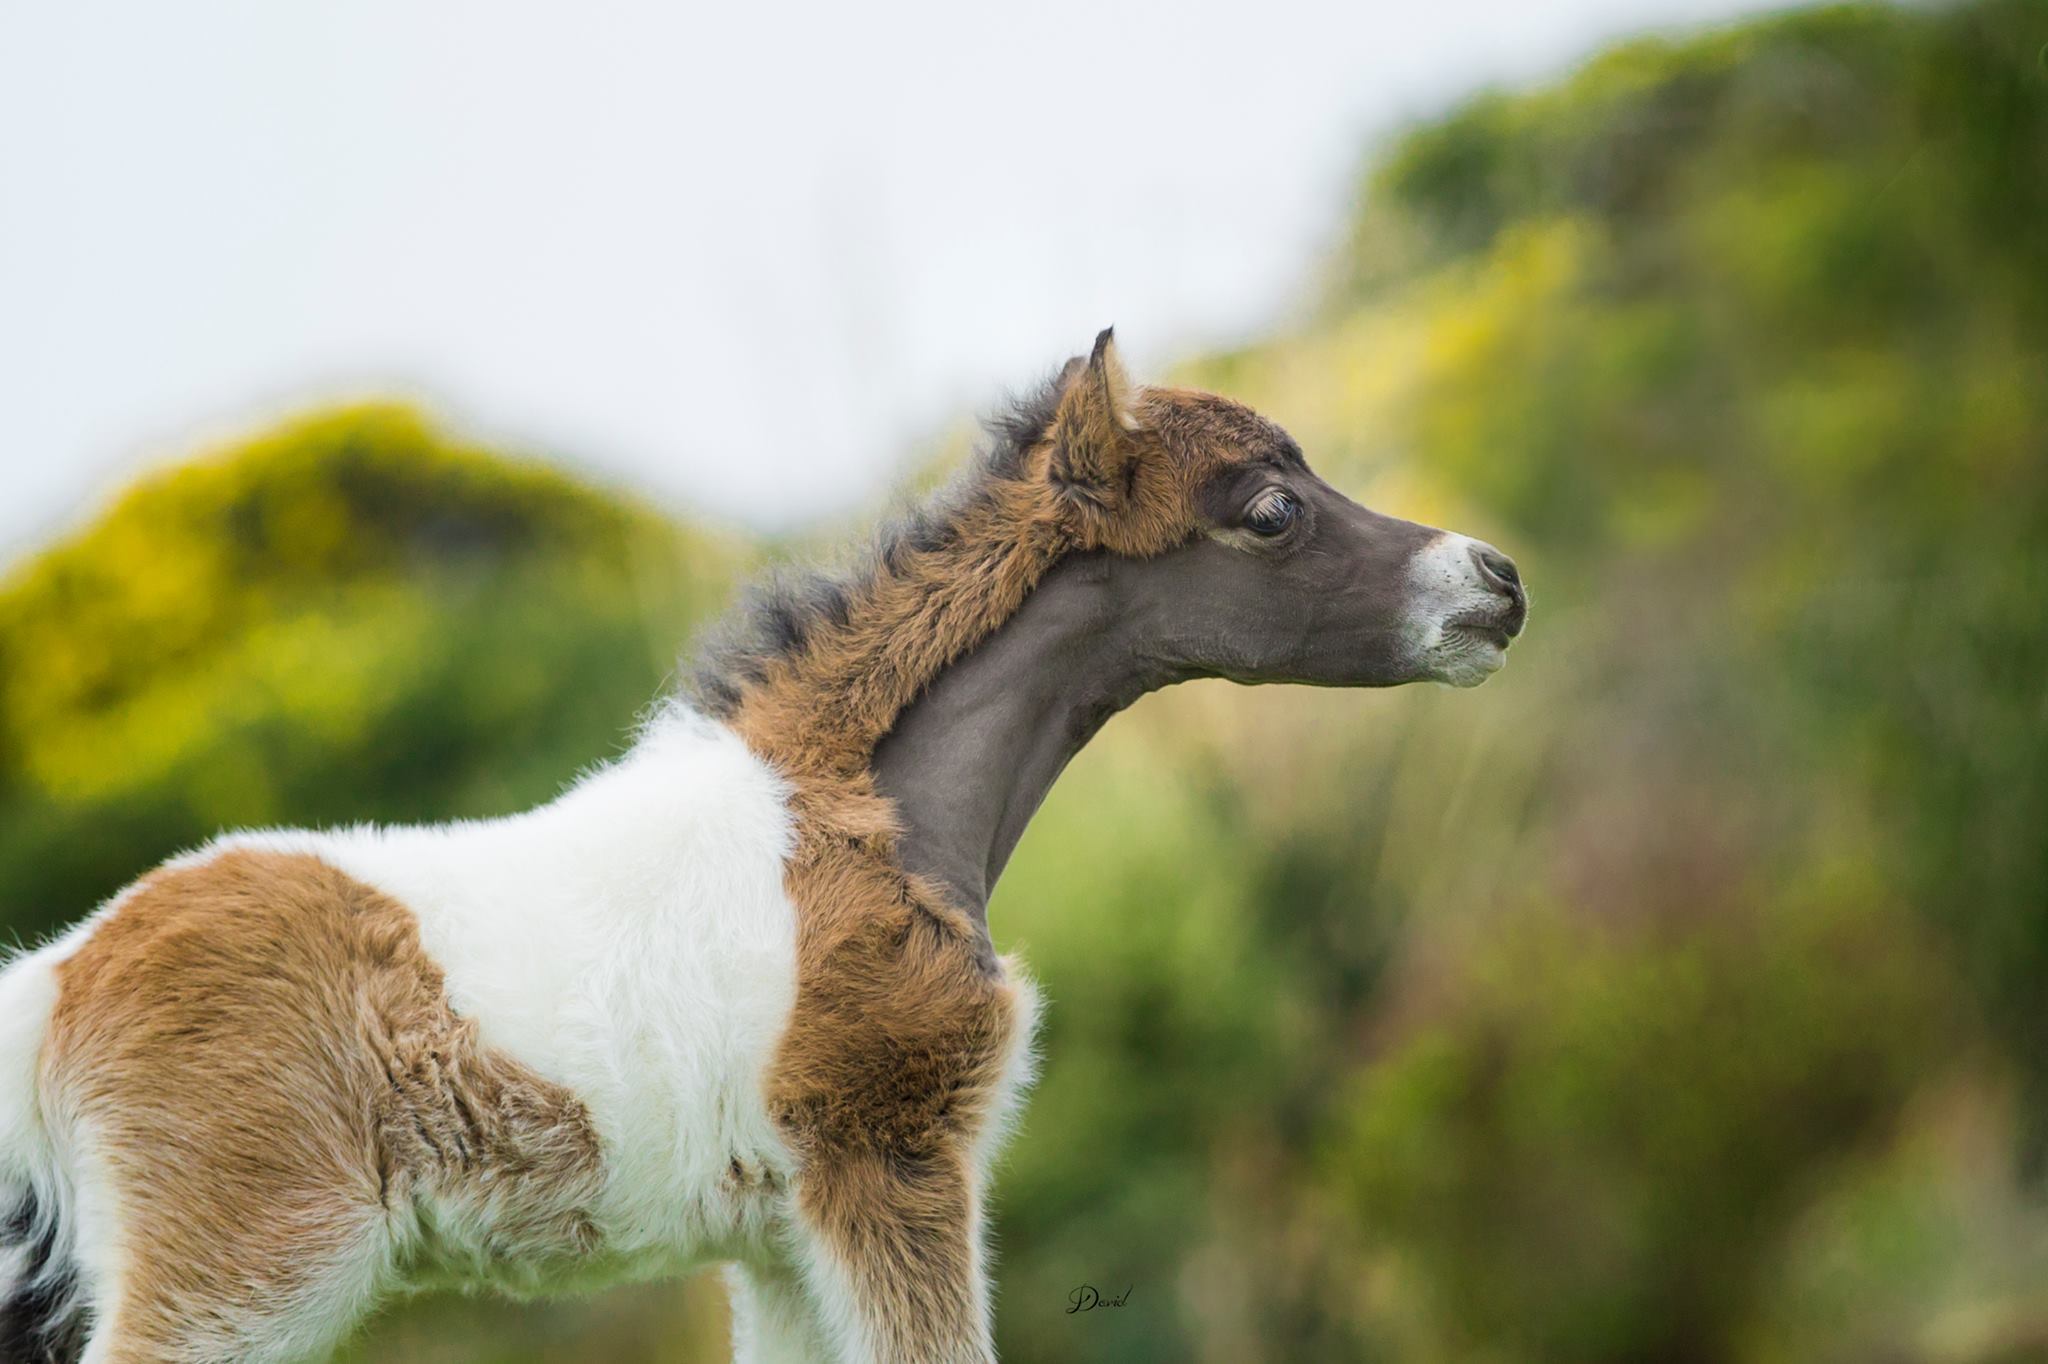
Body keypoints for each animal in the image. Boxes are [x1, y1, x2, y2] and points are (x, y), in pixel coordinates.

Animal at [0, 330, 1526, 1364]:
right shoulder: (892, 1162)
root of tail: (59, 982)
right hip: (247, 1273)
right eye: (1269, 510)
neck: (868, 814)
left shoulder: (784, 1233)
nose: (1497, 585)